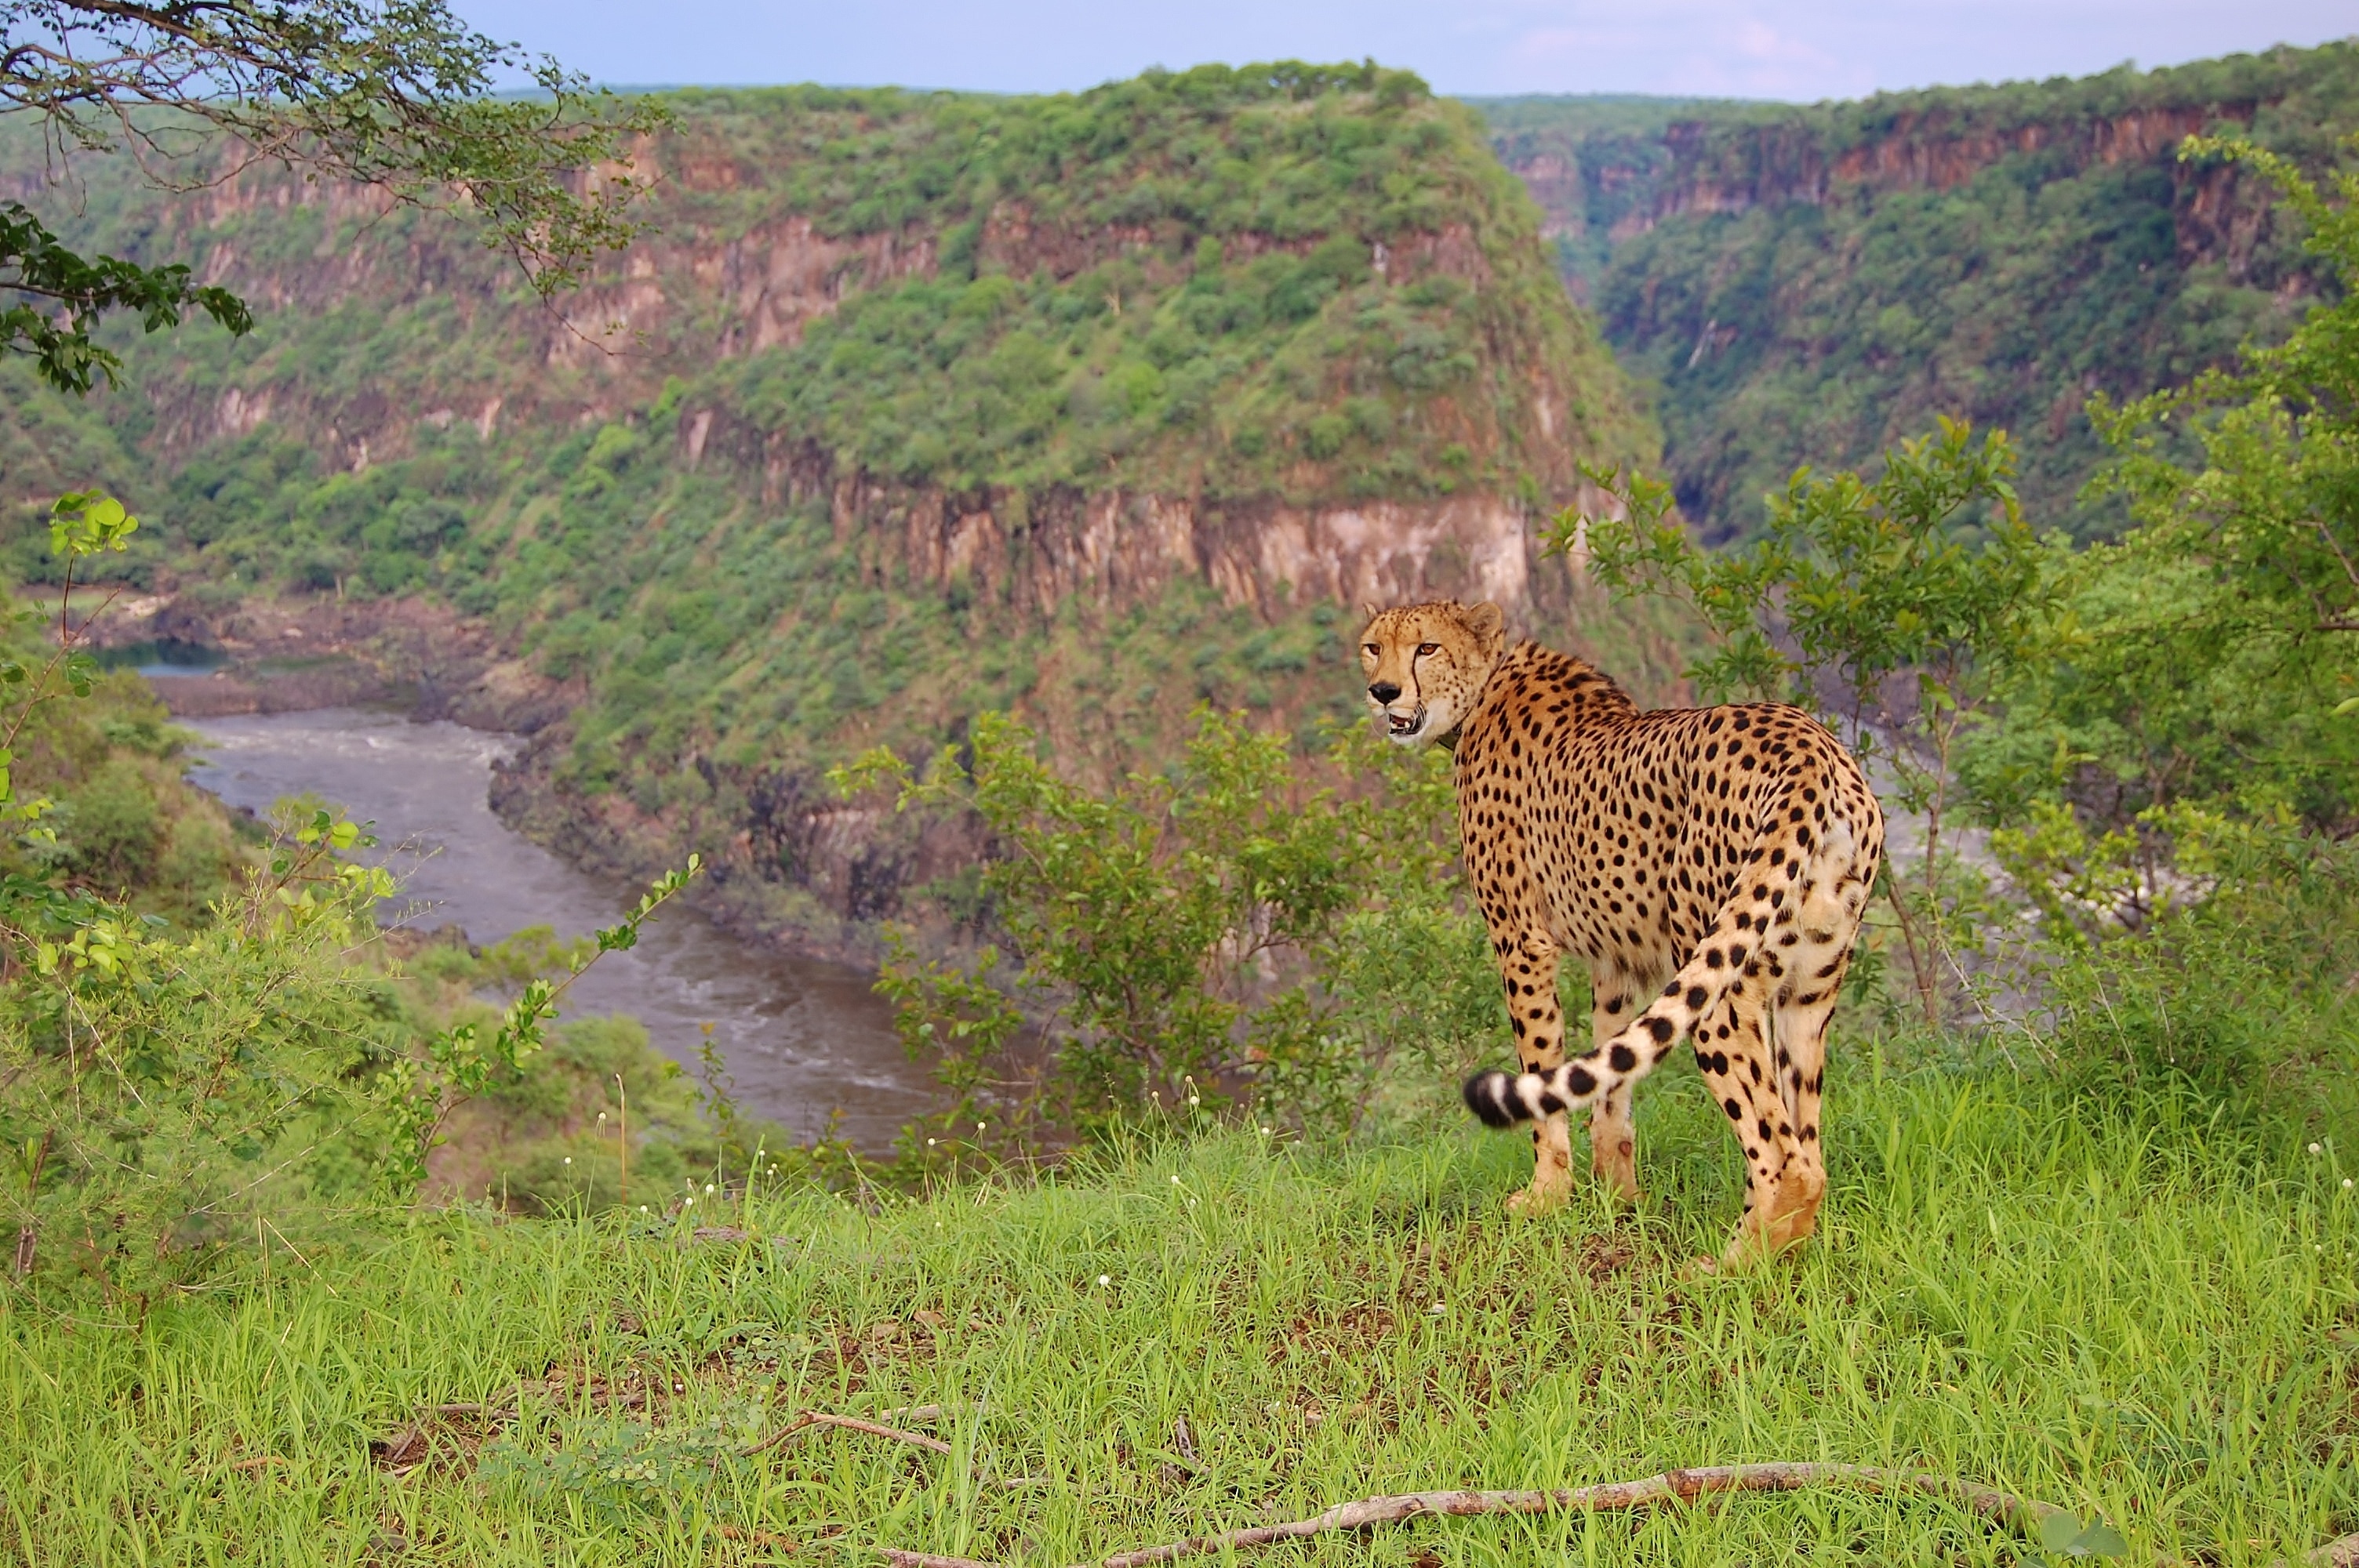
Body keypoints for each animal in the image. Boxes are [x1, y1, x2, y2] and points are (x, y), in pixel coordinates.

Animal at [1358, 598, 1884, 1263]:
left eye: (1426, 647)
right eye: (1373, 647)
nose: (1382, 691)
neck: (1482, 691)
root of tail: (1809, 743)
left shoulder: (1521, 942)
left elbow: (1541, 1064)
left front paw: (1547, 1196)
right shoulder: (1618, 960)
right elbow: (1611, 1081)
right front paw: (1617, 1198)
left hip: (1719, 988)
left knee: (1785, 1156)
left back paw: (1730, 1268)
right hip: (1809, 987)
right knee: (1807, 1144)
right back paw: (1786, 1254)